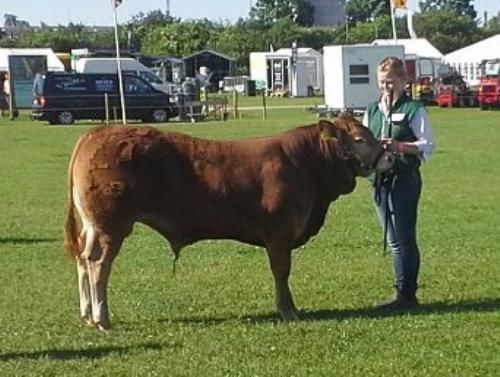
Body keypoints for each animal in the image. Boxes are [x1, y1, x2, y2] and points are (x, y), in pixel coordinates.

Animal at [65, 113, 394, 328]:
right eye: (359, 139)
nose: (389, 156)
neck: (305, 164)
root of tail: (99, 132)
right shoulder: (279, 233)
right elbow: (281, 272)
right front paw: (288, 311)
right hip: (111, 225)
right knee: (98, 264)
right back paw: (102, 318)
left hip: (93, 225)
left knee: (82, 257)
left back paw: (86, 313)